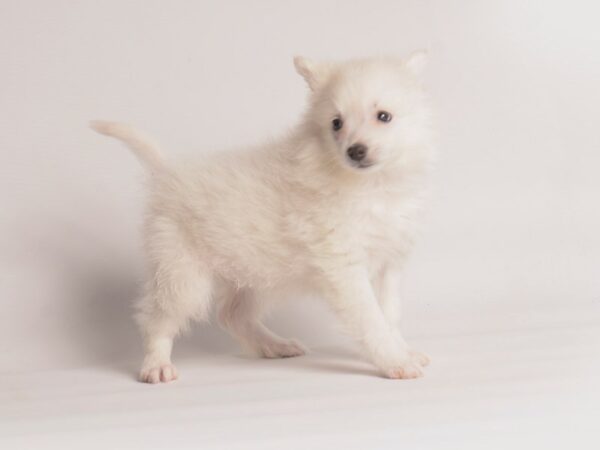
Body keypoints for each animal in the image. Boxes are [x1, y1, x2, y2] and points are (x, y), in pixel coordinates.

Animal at [90, 52, 436, 384]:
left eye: (383, 116)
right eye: (336, 123)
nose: (355, 151)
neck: (373, 186)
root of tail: (165, 172)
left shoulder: (389, 264)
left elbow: (389, 315)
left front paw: (403, 351)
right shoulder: (345, 269)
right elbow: (371, 320)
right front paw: (395, 362)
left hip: (255, 274)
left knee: (232, 315)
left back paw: (273, 345)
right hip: (181, 274)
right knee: (157, 320)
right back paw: (156, 364)